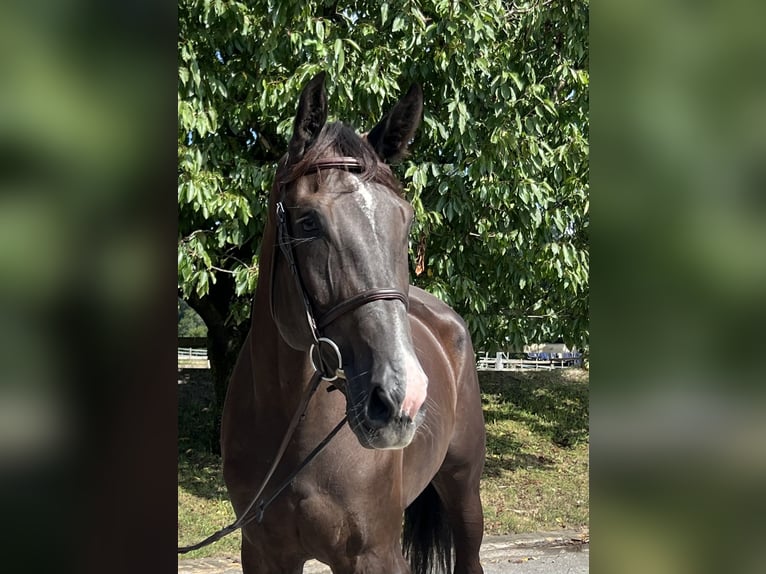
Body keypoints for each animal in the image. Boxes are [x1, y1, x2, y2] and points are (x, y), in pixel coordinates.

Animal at [222, 73, 486, 574]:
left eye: (406, 221)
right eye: (308, 222)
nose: (402, 398)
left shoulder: (375, 556)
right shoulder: (263, 554)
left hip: (464, 490)